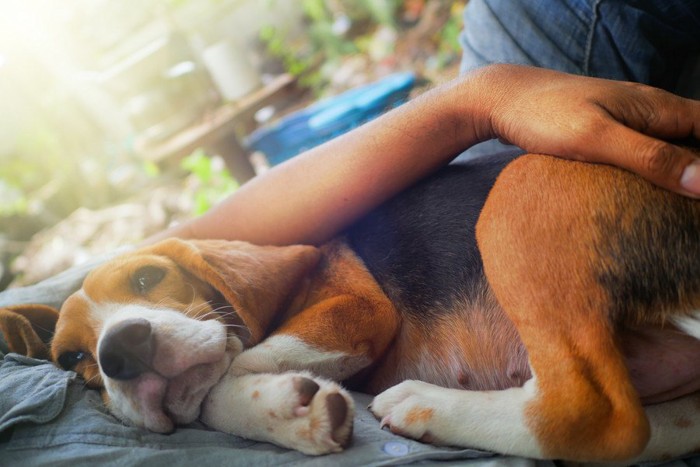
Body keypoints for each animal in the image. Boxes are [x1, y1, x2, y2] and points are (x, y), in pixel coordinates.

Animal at [4, 154, 700, 464]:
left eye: (148, 276)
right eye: (71, 358)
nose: (119, 351)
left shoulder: (355, 310)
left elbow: (220, 379)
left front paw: (280, 406)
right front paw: (292, 416)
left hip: (523, 188)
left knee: (594, 416)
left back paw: (426, 406)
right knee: (647, 428)